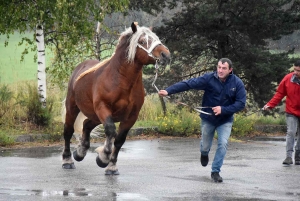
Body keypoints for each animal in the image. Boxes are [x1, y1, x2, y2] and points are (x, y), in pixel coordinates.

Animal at [62, 22, 171, 175]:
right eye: (143, 41)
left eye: (156, 38)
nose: (165, 55)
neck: (120, 80)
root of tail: (80, 67)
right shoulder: (103, 108)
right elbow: (110, 131)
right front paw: (103, 158)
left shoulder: (131, 116)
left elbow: (119, 139)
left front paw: (111, 166)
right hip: (73, 107)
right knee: (68, 131)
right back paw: (67, 160)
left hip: (95, 115)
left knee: (86, 125)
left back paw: (80, 152)